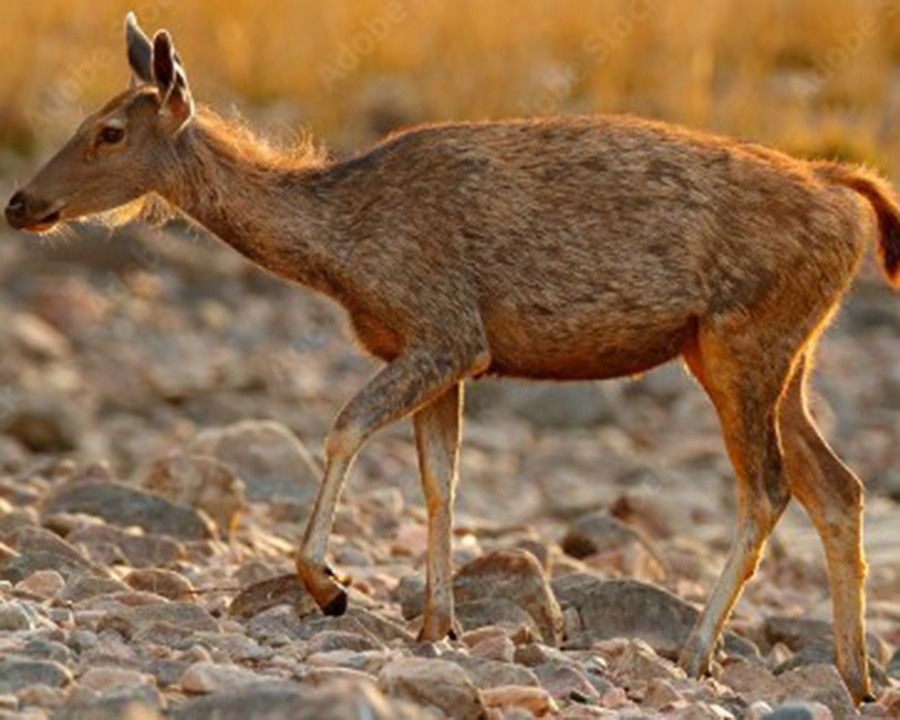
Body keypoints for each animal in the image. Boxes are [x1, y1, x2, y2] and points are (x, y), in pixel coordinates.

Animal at [7, 14, 898, 704]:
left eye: (109, 131)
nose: (21, 202)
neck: (344, 249)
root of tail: (848, 197)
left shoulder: (444, 328)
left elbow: (344, 427)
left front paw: (331, 587)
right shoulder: (443, 353)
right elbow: (442, 480)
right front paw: (438, 623)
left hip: (745, 338)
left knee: (768, 488)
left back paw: (696, 653)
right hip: (772, 352)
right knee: (839, 487)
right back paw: (855, 677)